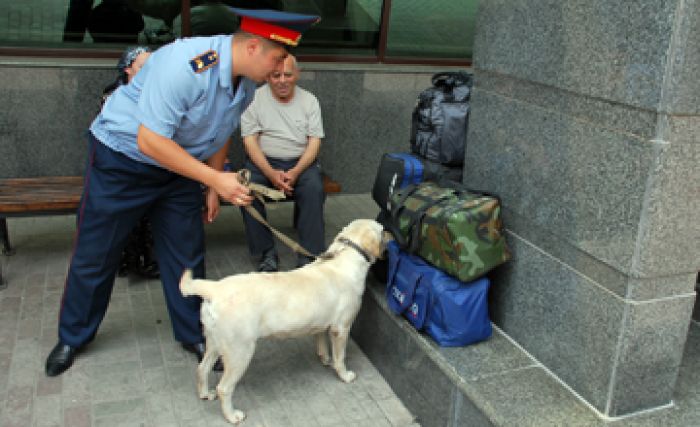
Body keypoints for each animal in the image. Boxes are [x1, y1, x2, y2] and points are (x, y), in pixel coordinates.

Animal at [178, 219, 386, 426]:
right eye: (383, 231)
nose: (391, 234)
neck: (346, 255)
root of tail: (215, 288)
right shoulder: (341, 328)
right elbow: (340, 357)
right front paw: (344, 374)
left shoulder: (321, 324)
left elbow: (321, 343)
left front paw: (325, 359)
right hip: (240, 351)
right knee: (224, 387)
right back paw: (232, 415)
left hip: (214, 341)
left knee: (202, 368)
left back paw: (205, 394)